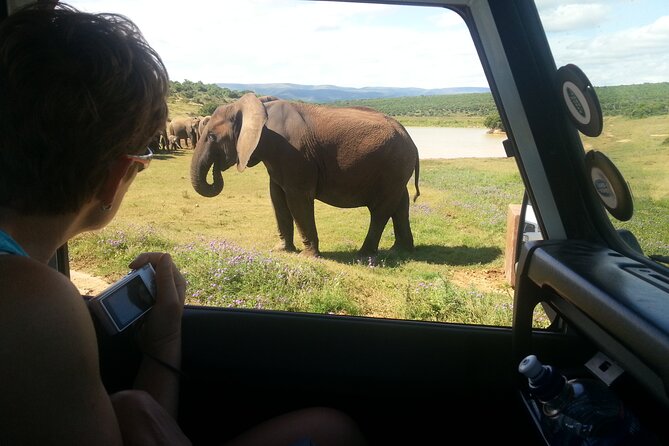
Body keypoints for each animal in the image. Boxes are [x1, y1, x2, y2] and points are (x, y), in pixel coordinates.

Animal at [190, 93, 420, 258]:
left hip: (394, 166)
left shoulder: (295, 155)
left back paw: (364, 254)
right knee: (401, 204)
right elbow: (277, 199)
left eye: (212, 137)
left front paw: (308, 256)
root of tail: (412, 141)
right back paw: (400, 251)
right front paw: (281, 250)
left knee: (380, 210)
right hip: (397, 170)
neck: (256, 106)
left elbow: (297, 199)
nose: (217, 170)